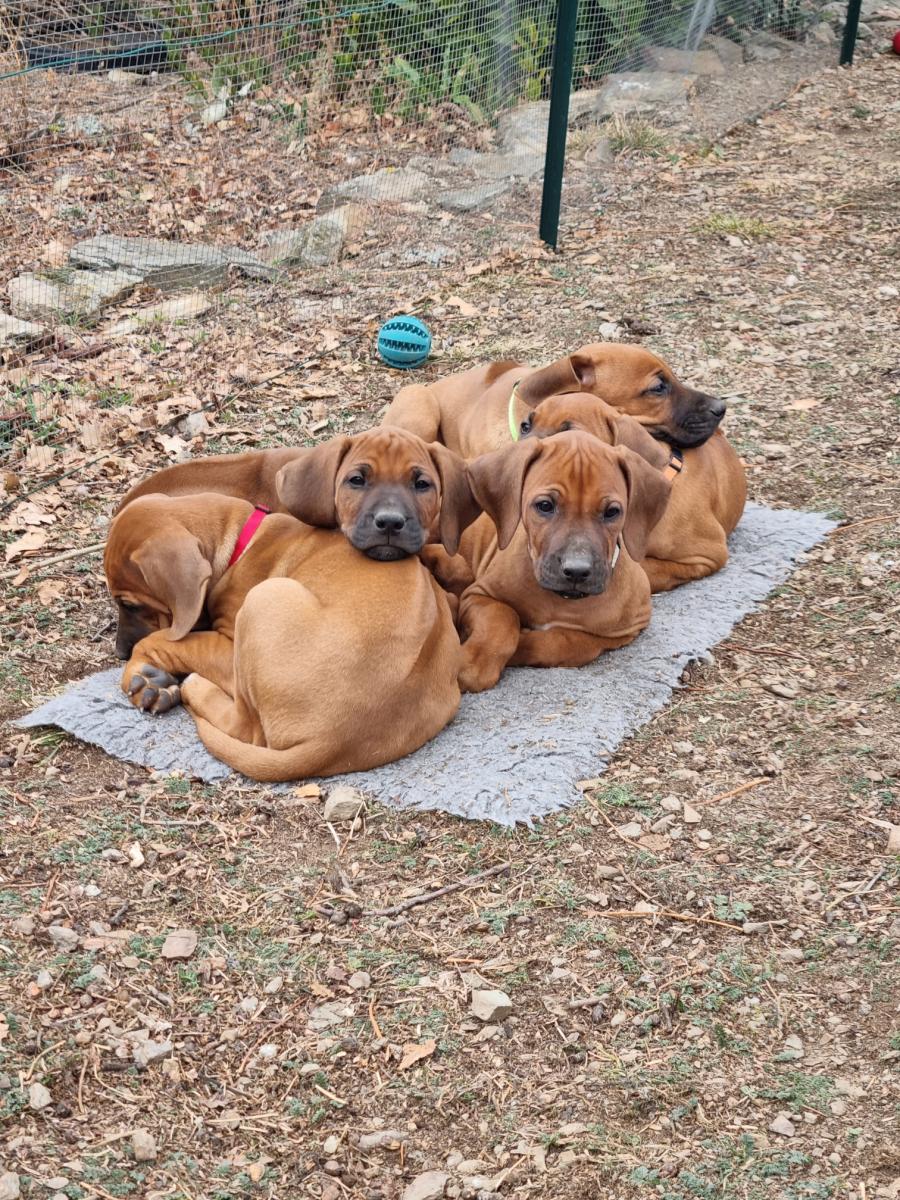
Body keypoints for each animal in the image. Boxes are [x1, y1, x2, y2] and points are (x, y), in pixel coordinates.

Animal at [107, 492, 465, 782]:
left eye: (130, 604)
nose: (120, 652)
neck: (241, 541)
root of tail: (333, 741)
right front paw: (149, 679)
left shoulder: (226, 645)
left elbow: (166, 640)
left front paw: (140, 675)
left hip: (264, 599)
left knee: (247, 727)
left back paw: (194, 686)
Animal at [427, 432, 672, 696]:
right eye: (545, 506)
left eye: (612, 512)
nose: (577, 571)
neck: (559, 600)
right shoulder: (480, 594)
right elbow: (503, 618)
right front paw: (474, 662)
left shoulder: (626, 629)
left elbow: (566, 642)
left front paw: (522, 643)